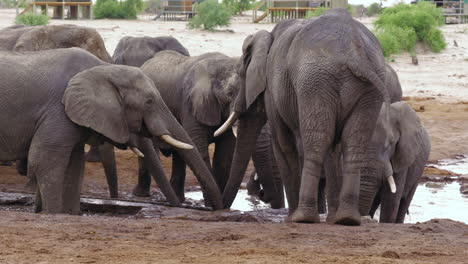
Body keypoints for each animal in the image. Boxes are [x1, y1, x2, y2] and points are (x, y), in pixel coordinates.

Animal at [0, 47, 223, 213]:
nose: (216, 209)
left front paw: (70, 214)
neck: (105, 69)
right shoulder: (58, 109)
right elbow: (45, 160)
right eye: (149, 102)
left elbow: (75, 165)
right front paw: (53, 214)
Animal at [133, 50, 284, 208]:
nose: (261, 194)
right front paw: (211, 206)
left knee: (180, 155)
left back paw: (178, 199)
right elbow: (200, 150)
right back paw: (142, 195)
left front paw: (218, 205)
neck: (221, 63)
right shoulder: (191, 104)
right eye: (230, 93)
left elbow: (223, 156)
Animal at [215, 9, 388, 225]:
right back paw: (346, 218)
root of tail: (355, 53)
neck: (268, 37)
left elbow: (284, 144)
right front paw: (332, 218)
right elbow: (333, 149)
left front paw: (291, 217)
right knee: (352, 143)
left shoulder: (273, 87)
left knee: (316, 141)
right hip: (368, 88)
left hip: (314, 82)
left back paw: (303, 217)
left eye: (239, 74)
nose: (221, 208)